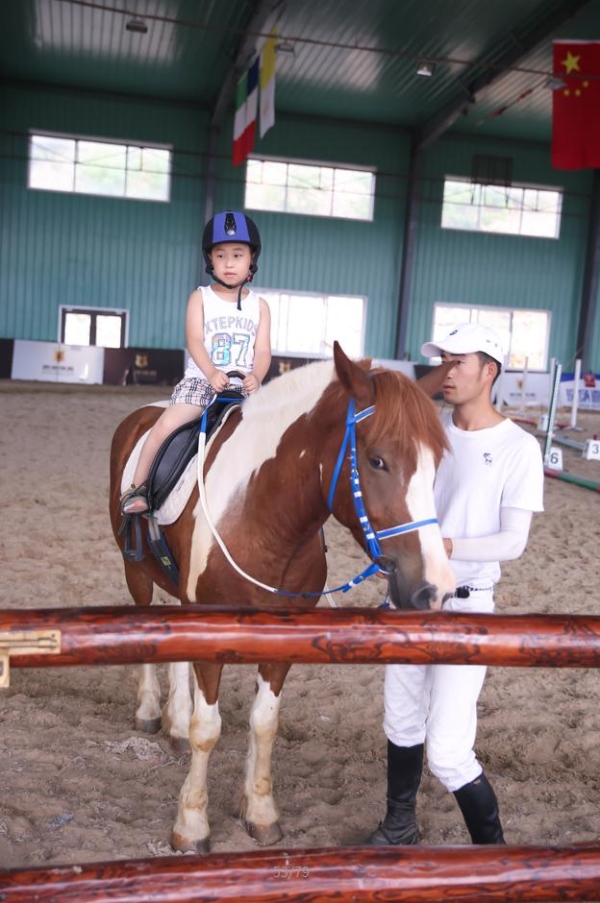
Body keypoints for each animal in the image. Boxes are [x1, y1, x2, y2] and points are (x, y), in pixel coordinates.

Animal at [109, 340, 454, 856]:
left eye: (436, 466)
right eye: (377, 461)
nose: (434, 585)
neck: (262, 513)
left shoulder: (279, 636)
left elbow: (264, 721)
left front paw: (258, 810)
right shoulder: (213, 629)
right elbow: (208, 730)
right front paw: (192, 825)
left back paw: (174, 720)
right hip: (138, 573)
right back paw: (152, 711)